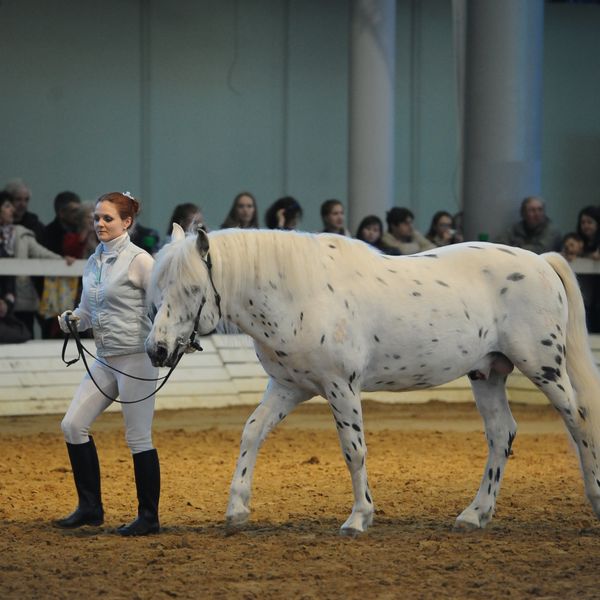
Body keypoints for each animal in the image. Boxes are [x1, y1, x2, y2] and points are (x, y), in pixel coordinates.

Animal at [146, 225, 600, 536]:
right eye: (158, 287)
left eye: (191, 288)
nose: (157, 350)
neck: (301, 293)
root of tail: (541, 262)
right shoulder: (290, 388)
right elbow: (252, 432)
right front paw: (237, 509)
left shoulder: (341, 387)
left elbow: (353, 450)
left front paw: (359, 517)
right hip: (487, 372)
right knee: (502, 433)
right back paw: (475, 515)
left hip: (543, 366)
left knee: (578, 421)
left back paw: (594, 501)